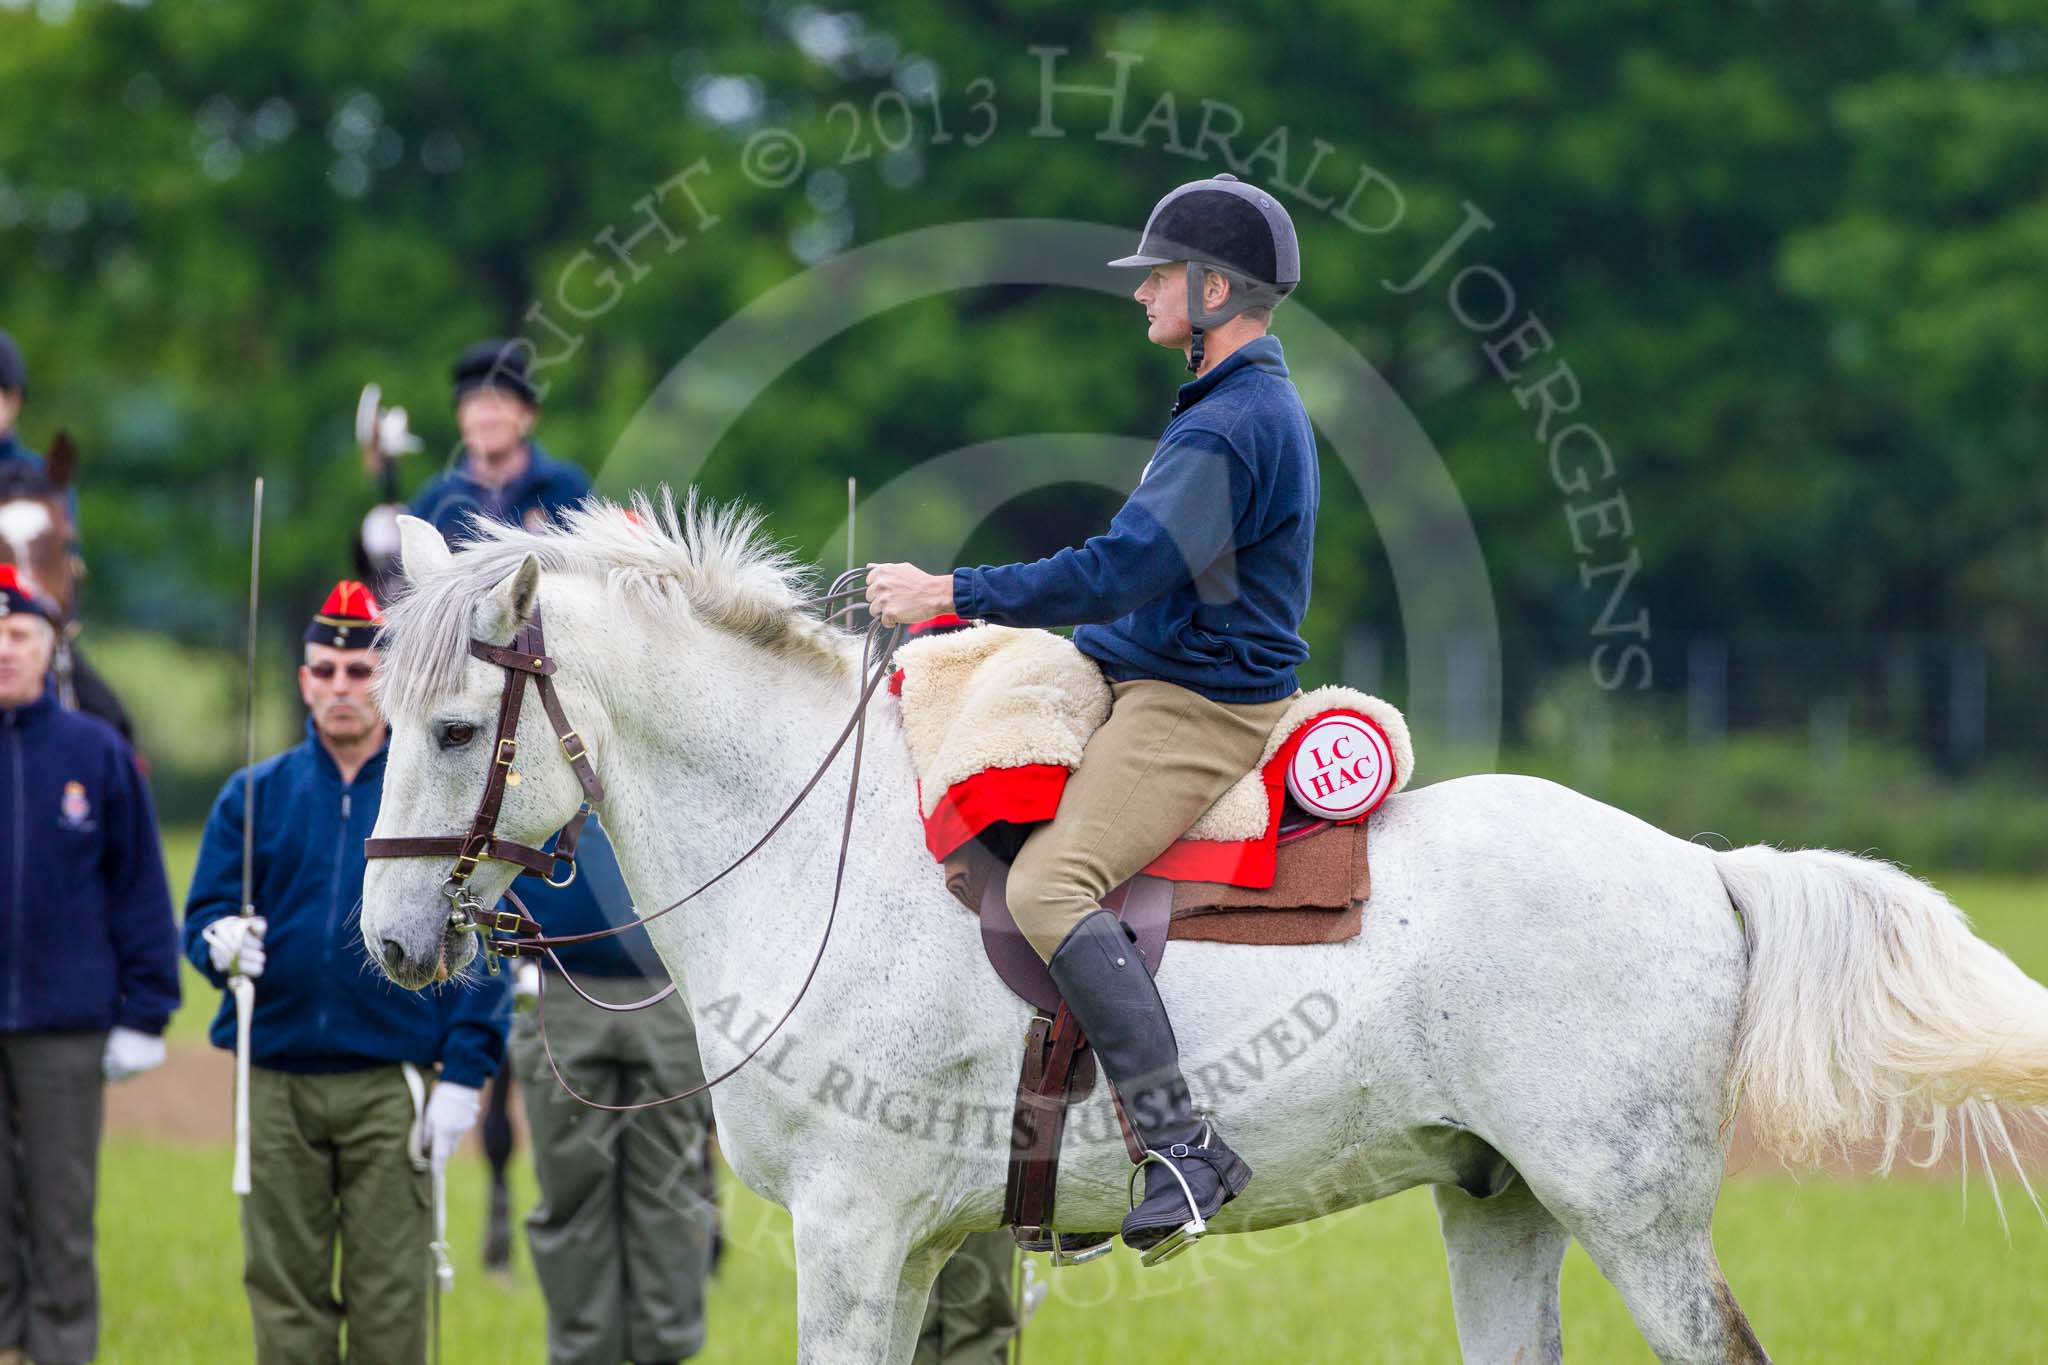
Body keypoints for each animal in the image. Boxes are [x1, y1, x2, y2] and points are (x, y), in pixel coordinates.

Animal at [360, 493, 2048, 1365]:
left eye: (452, 729)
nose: (386, 944)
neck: (808, 855)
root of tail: (1702, 867)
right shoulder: (907, 1247)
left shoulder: (851, 1233)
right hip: (1501, 1203)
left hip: (1629, 1211)